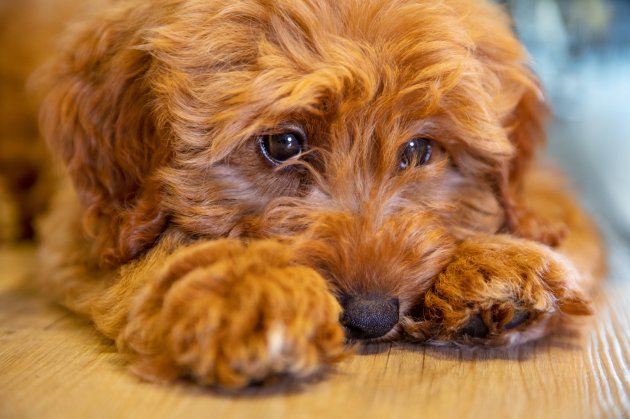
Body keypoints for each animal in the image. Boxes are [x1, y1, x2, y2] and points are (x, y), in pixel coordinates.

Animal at [24, 0, 608, 390]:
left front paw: (496, 265)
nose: (372, 317)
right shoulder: (86, 224)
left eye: (419, 149)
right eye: (282, 143)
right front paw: (248, 289)